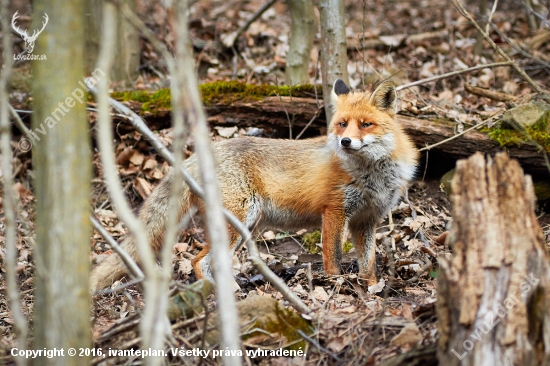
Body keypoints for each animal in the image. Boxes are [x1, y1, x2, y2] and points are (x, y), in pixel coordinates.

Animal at [90, 78, 418, 290]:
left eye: (365, 124)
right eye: (342, 124)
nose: (345, 142)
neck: (371, 176)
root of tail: (204, 153)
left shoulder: (366, 219)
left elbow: (369, 262)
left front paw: (371, 288)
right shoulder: (334, 211)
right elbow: (333, 257)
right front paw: (336, 286)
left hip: (244, 226)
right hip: (238, 222)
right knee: (199, 262)